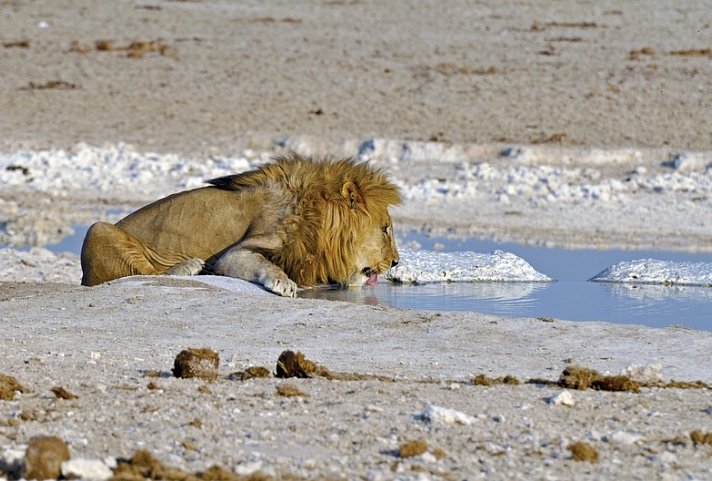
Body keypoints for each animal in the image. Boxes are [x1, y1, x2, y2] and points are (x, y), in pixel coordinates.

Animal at [80, 154, 404, 296]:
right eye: (385, 229)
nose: (396, 262)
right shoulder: (233, 254)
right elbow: (266, 263)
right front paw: (283, 283)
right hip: (97, 229)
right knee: (145, 272)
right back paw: (189, 267)